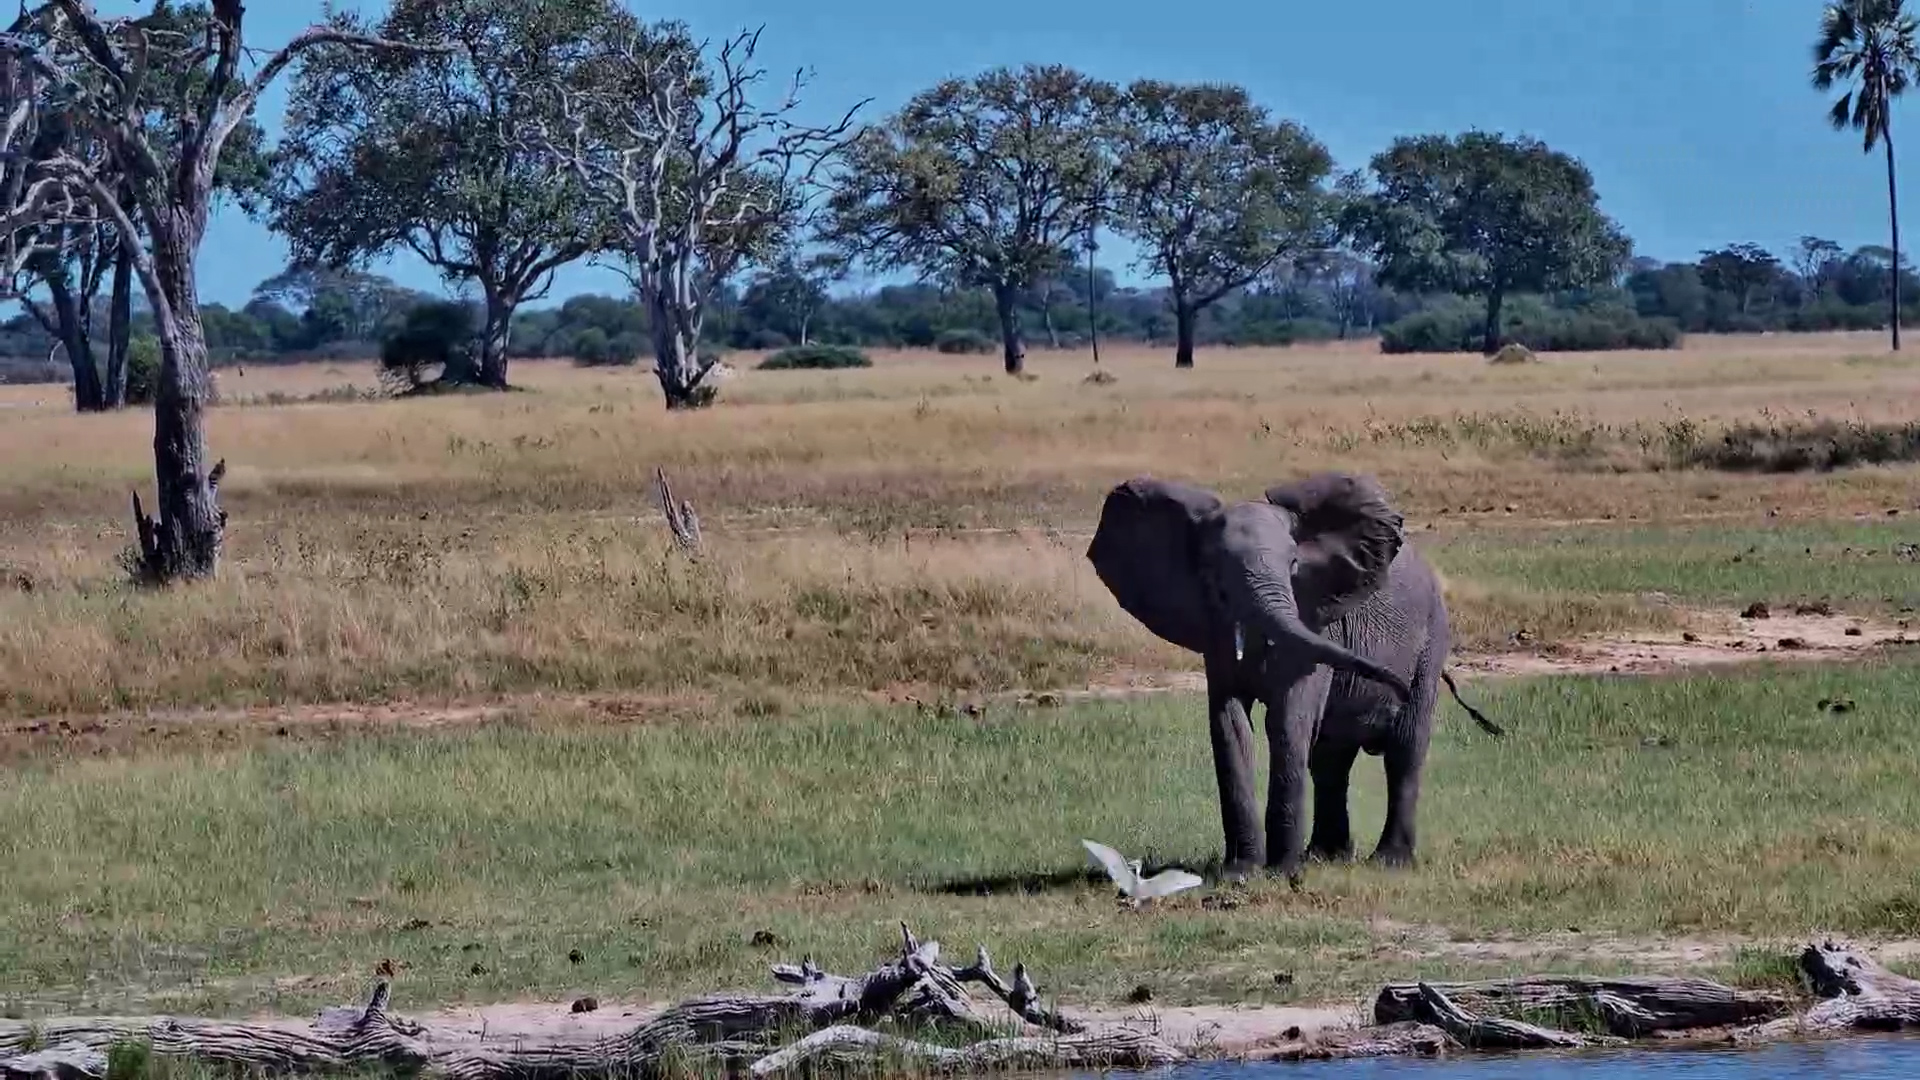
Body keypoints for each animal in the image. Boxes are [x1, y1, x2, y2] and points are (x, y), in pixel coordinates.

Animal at [1084, 471, 1501, 883]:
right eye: (1214, 576)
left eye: (1295, 566)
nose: (1394, 684)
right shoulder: (1214, 633)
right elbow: (1230, 725)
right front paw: (1240, 874)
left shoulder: (1316, 622)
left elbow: (1287, 720)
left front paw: (1281, 874)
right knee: (1330, 759)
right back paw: (1325, 857)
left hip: (1433, 636)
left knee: (1405, 749)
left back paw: (1388, 863)